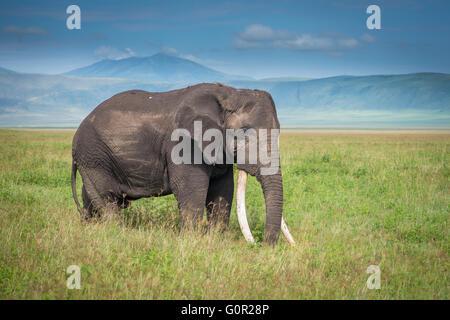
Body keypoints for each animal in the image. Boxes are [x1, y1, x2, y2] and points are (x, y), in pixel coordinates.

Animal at [71, 82, 296, 245]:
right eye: (242, 133)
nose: (263, 246)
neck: (229, 93)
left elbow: (222, 190)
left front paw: (214, 240)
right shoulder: (183, 143)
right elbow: (191, 189)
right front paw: (191, 242)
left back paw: (89, 226)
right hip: (93, 155)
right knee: (107, 199)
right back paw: (115, 232)